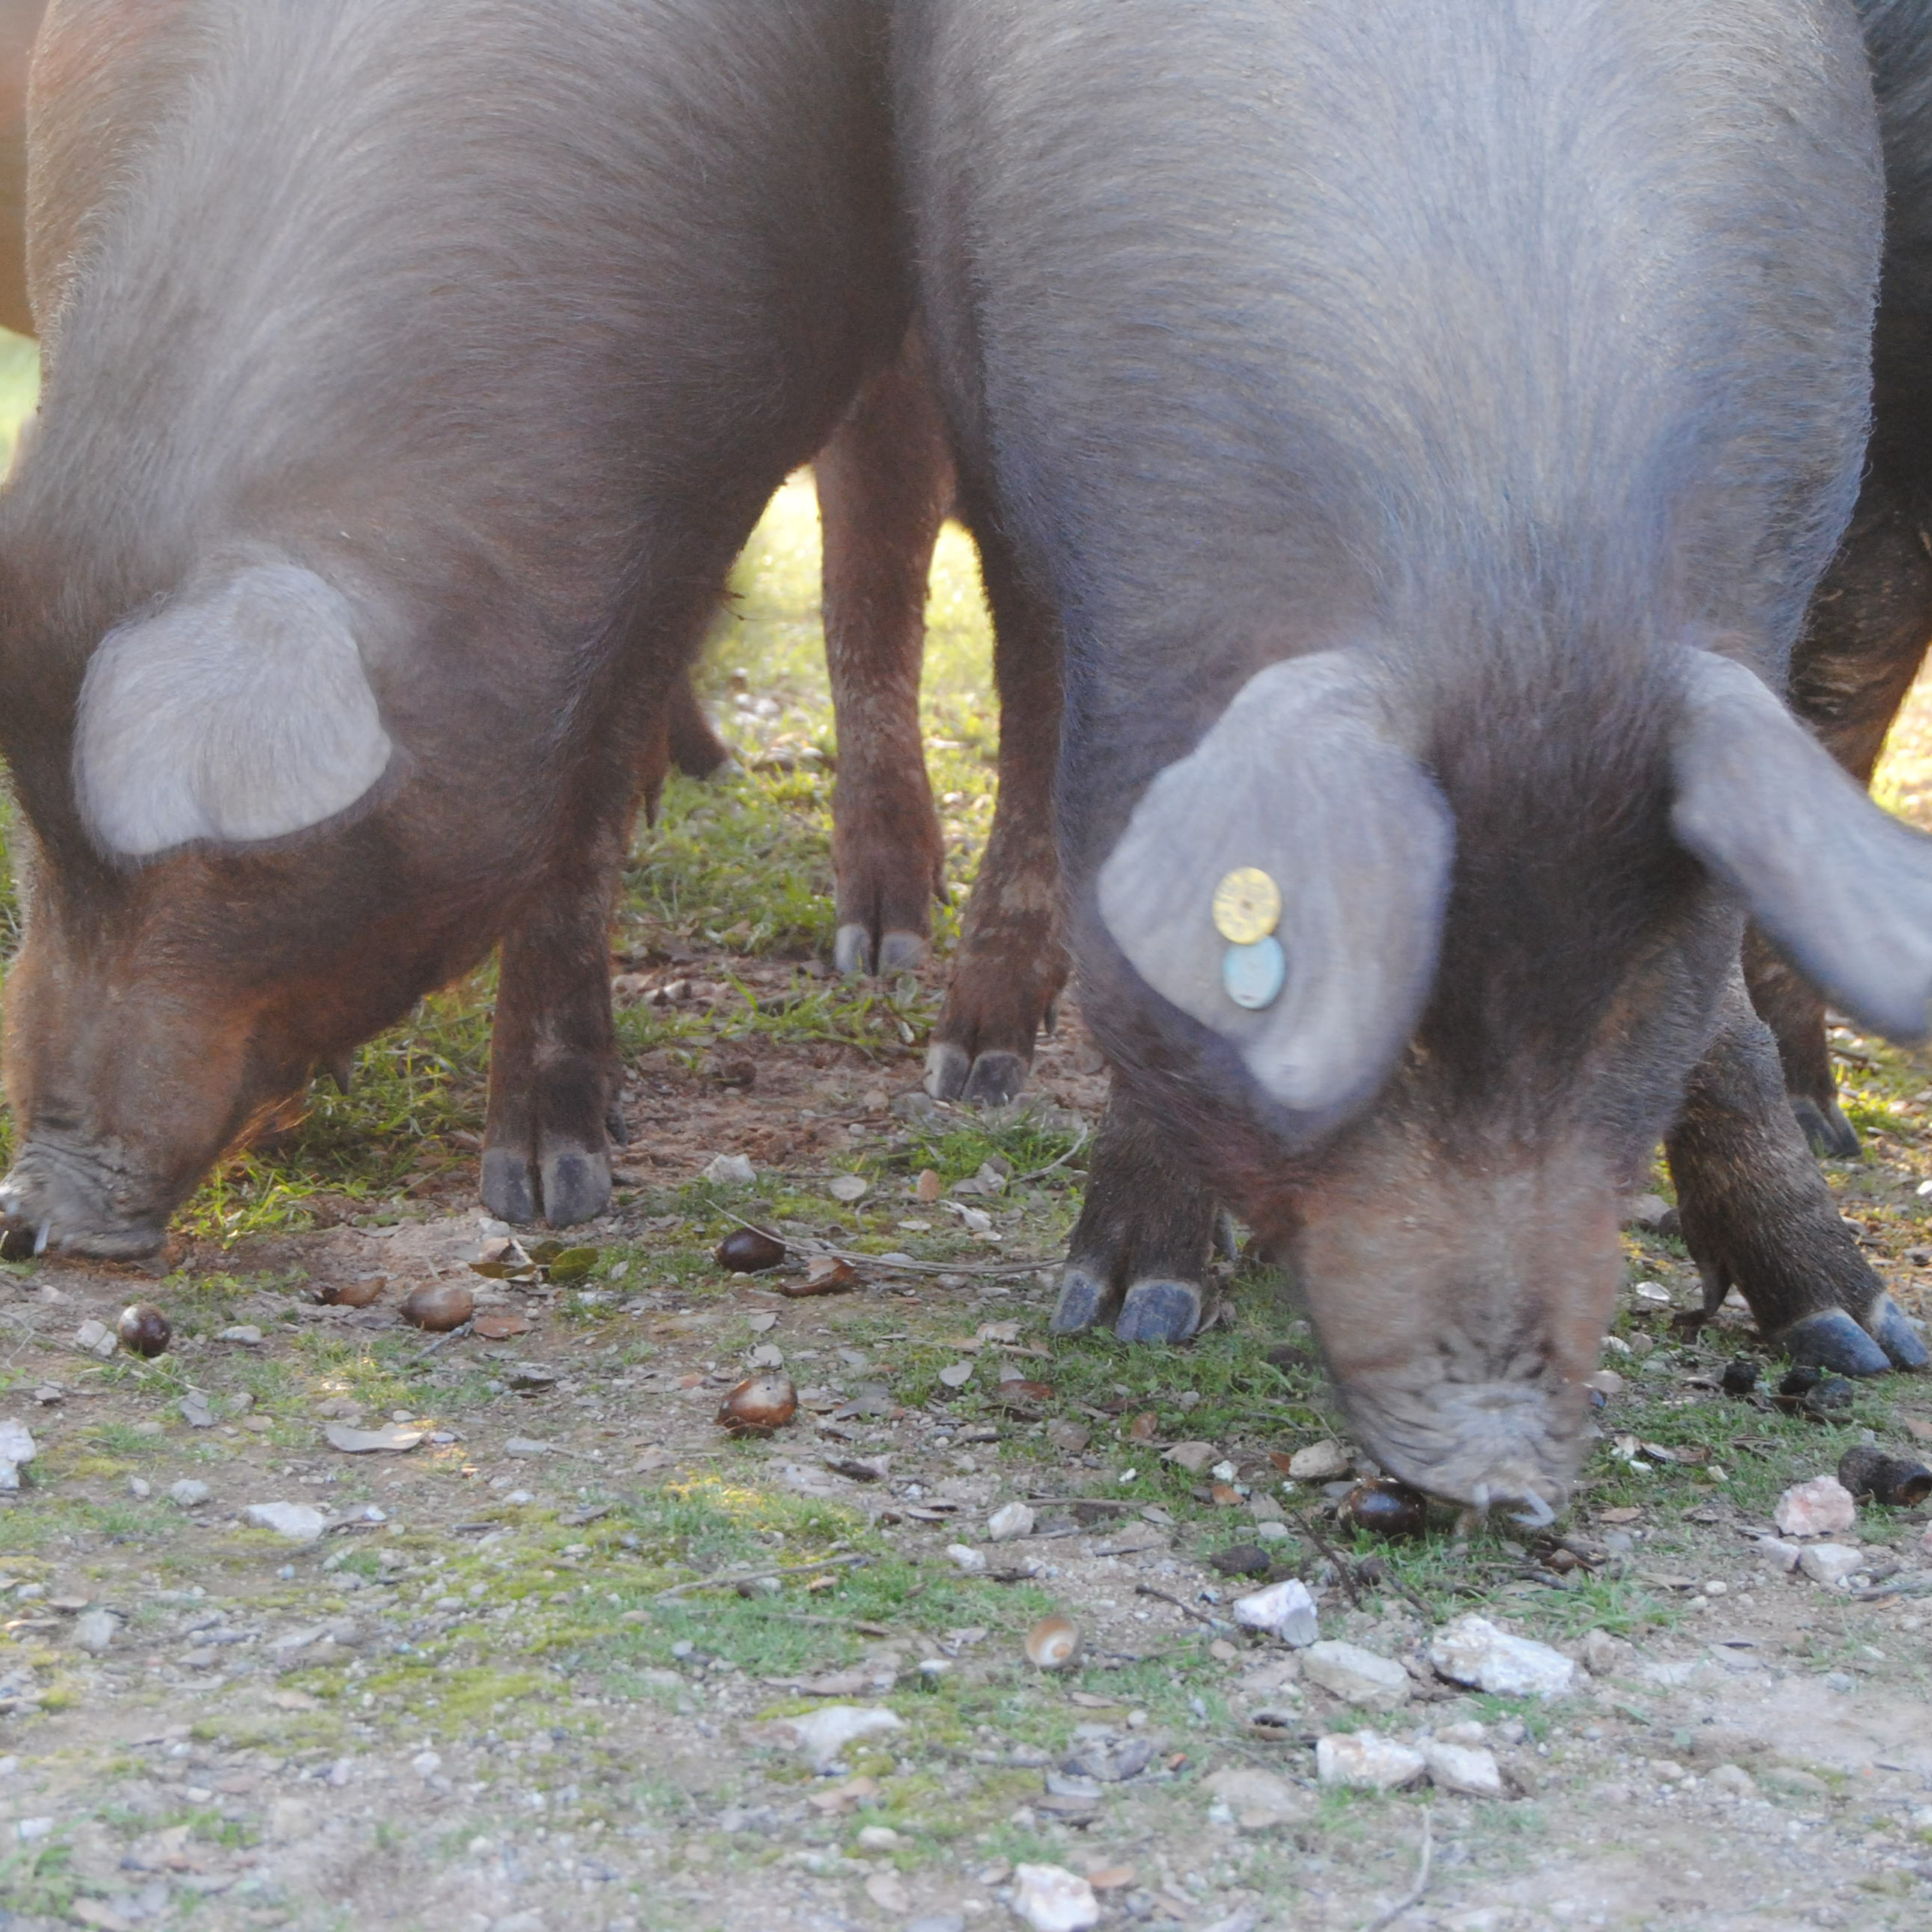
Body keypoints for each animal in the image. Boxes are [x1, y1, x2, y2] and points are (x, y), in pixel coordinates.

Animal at [0, 0, 904, 1255]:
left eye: (250, 859)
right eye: (38, 815)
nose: (39, 1211)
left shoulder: (707, 491)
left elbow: (578, 833)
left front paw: (550, 1190)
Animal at [898, 0, 1925, 1514]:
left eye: (1631, 1000)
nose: (1500, 1470)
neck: (1508, 527)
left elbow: (1723, 1024)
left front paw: (1864, 1340)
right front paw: (1131, 1309)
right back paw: (977, 1081)